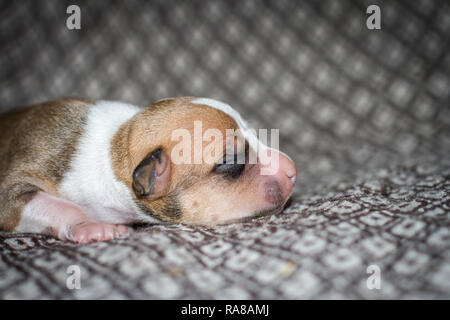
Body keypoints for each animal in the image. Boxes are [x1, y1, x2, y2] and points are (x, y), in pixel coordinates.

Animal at [0, 96, 298, 244]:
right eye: (229, 161)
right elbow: (54, 205)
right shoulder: (15, 186)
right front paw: (89, 226)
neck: (114, 147)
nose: (292, 170)